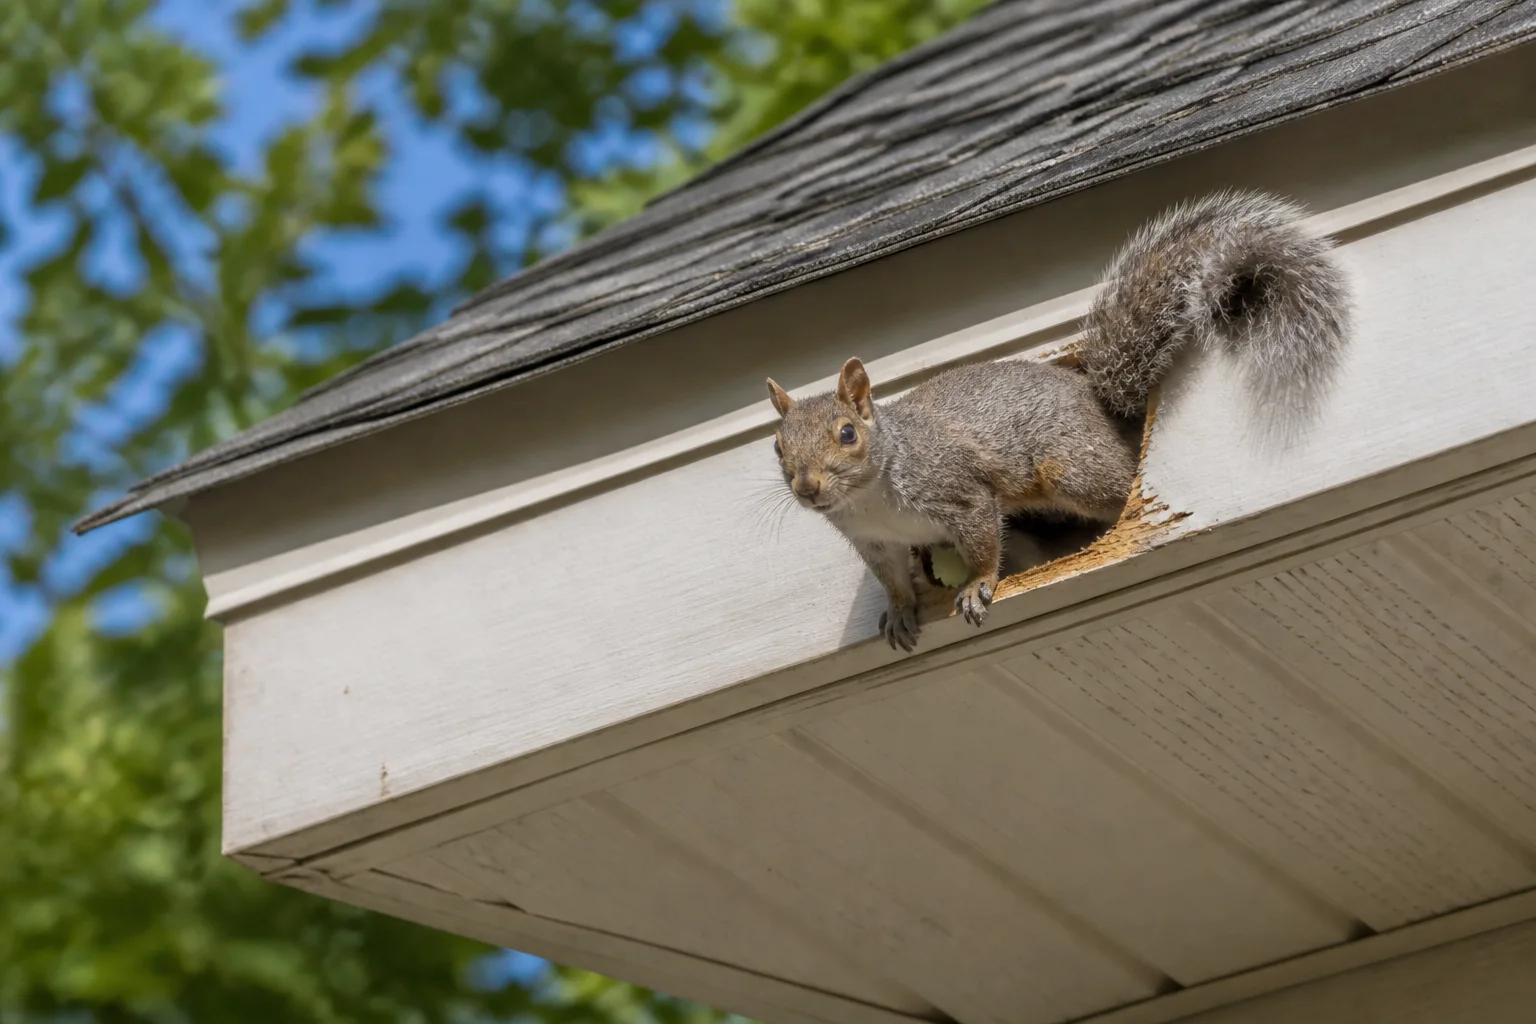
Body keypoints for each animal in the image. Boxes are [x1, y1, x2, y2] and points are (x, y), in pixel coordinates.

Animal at [766, 190, 1350, 652]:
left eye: (847, 433)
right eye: (777, 448)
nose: (806, 488)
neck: (872, 497)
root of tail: (1098, 402)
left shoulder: (957, 492)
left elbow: (983, 541)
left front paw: (976, 585)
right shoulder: (874, 542)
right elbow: (894, 579)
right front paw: (901, 611)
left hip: (1070, 467)